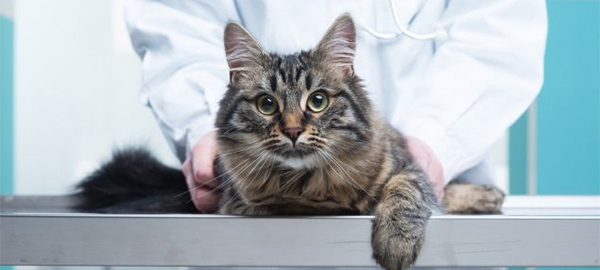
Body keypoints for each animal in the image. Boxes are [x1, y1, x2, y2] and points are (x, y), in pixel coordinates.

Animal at [76, 14, 506, 270]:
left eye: (317, 101)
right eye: (267, 105)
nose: (295, 130)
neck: (311, 183)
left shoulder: (404, 163)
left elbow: (408, 190)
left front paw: (397, 239)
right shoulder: (257, 201)